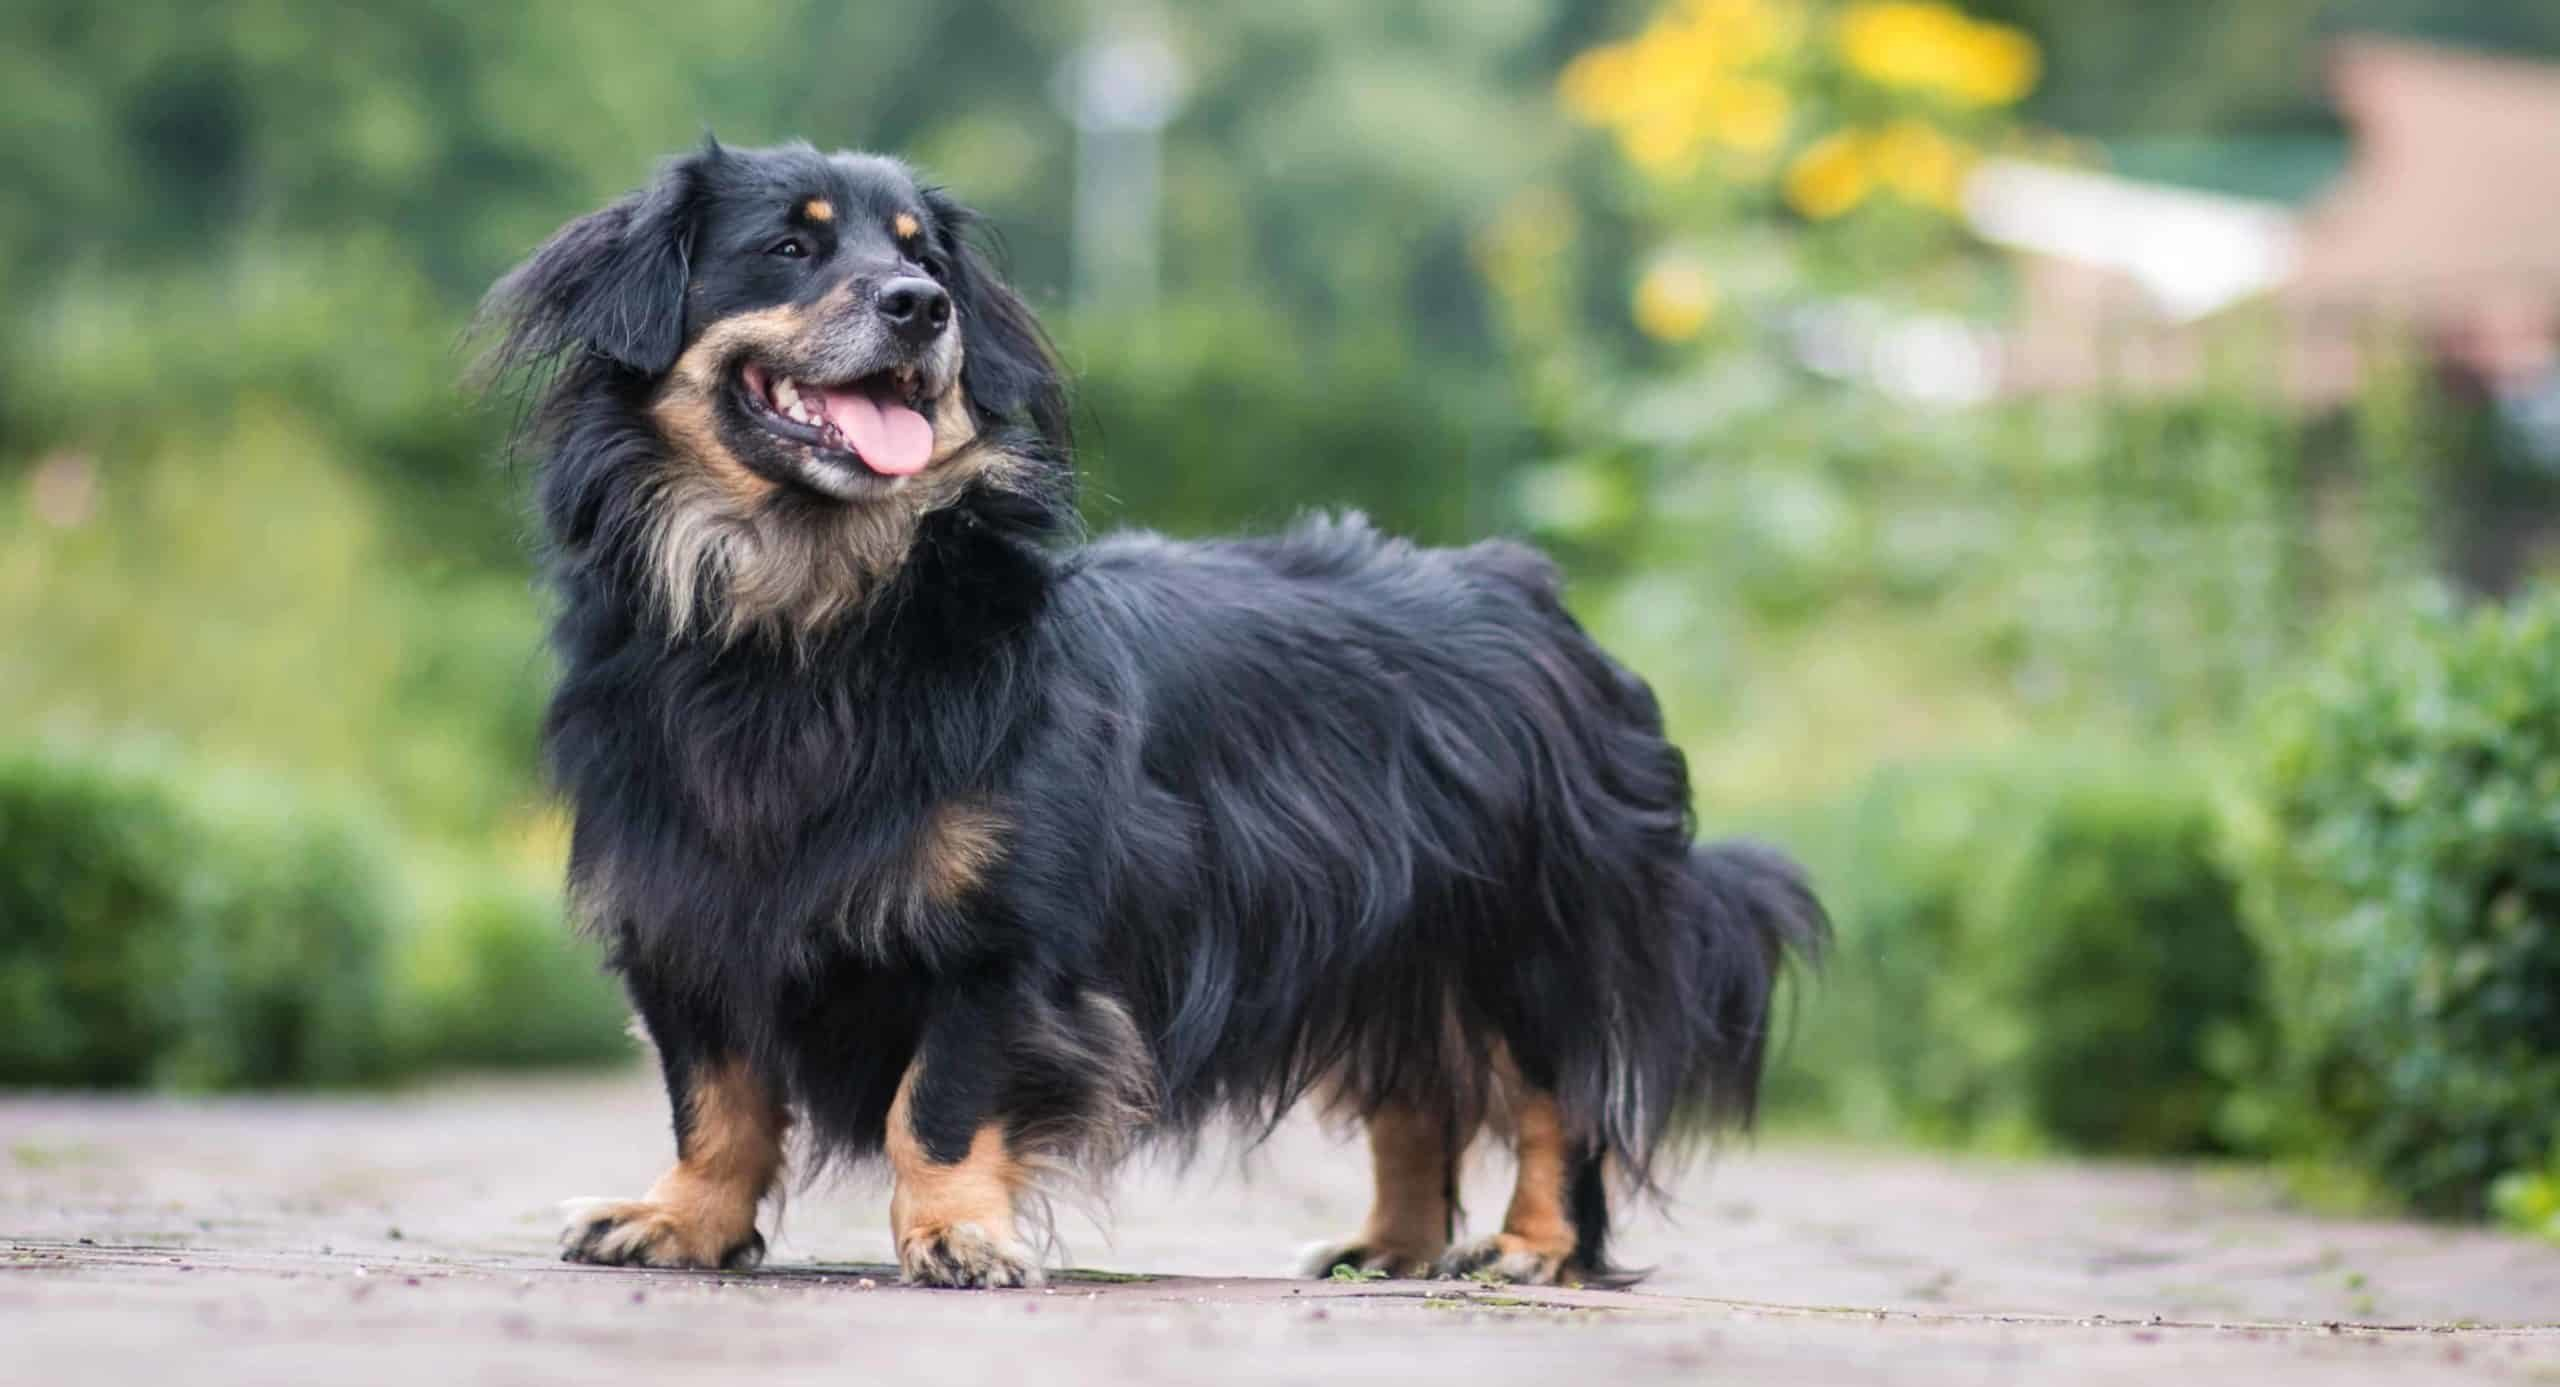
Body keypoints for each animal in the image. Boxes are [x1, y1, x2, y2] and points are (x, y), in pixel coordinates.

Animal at [481, 141, 1832, 1294]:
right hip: (1390, 942)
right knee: (1418, 1098)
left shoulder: (1000, 941)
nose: (921, 307)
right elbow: (714, 1097)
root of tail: (1532, 597)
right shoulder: (684, 911)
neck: (811, 617)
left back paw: (1531, 1249)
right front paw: (682, 1218)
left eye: (927, 259)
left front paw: (957, 1236)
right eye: (789, 248)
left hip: (1524, 931)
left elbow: (939, 1100)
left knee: (1559, 1098)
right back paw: (1386, 1250)